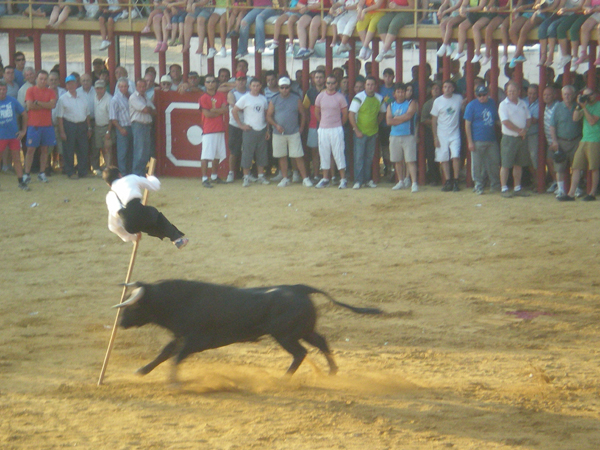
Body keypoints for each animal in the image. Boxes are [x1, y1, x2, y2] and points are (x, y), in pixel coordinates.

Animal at [115, 280, 382, 382]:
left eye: (134, 305)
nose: (120, 322)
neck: (178, 300)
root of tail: (298, 288)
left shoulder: (196, 340)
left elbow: (176, 357)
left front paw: (174, 381)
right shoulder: (181, 337)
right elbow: (164, 353)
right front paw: (141, 371)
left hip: (285, 336)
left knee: (301, 353)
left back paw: (283, 379)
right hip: (302, 330)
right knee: (321, 342)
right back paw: (332, 371)